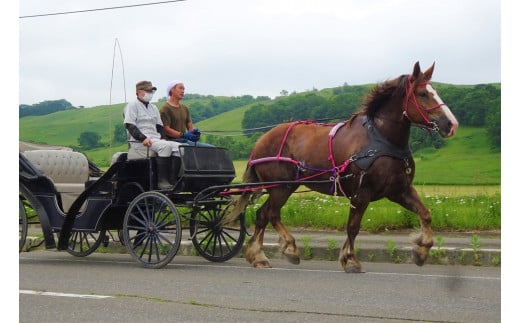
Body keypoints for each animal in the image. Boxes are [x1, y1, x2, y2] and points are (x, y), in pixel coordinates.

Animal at [223, 61, 460, 274]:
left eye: (435, 91)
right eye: (422, 94)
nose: (451, 124)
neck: (380, 138)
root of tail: (261, 141)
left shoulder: (398, 190)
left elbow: (425, 214)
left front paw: (422, 250)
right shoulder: (361, 193)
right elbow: (353, 227)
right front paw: (350, 259)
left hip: (284, 187)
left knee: (263, 215)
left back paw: (259, 256)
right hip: (281, 186)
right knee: (271, 214)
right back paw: (289, 248)